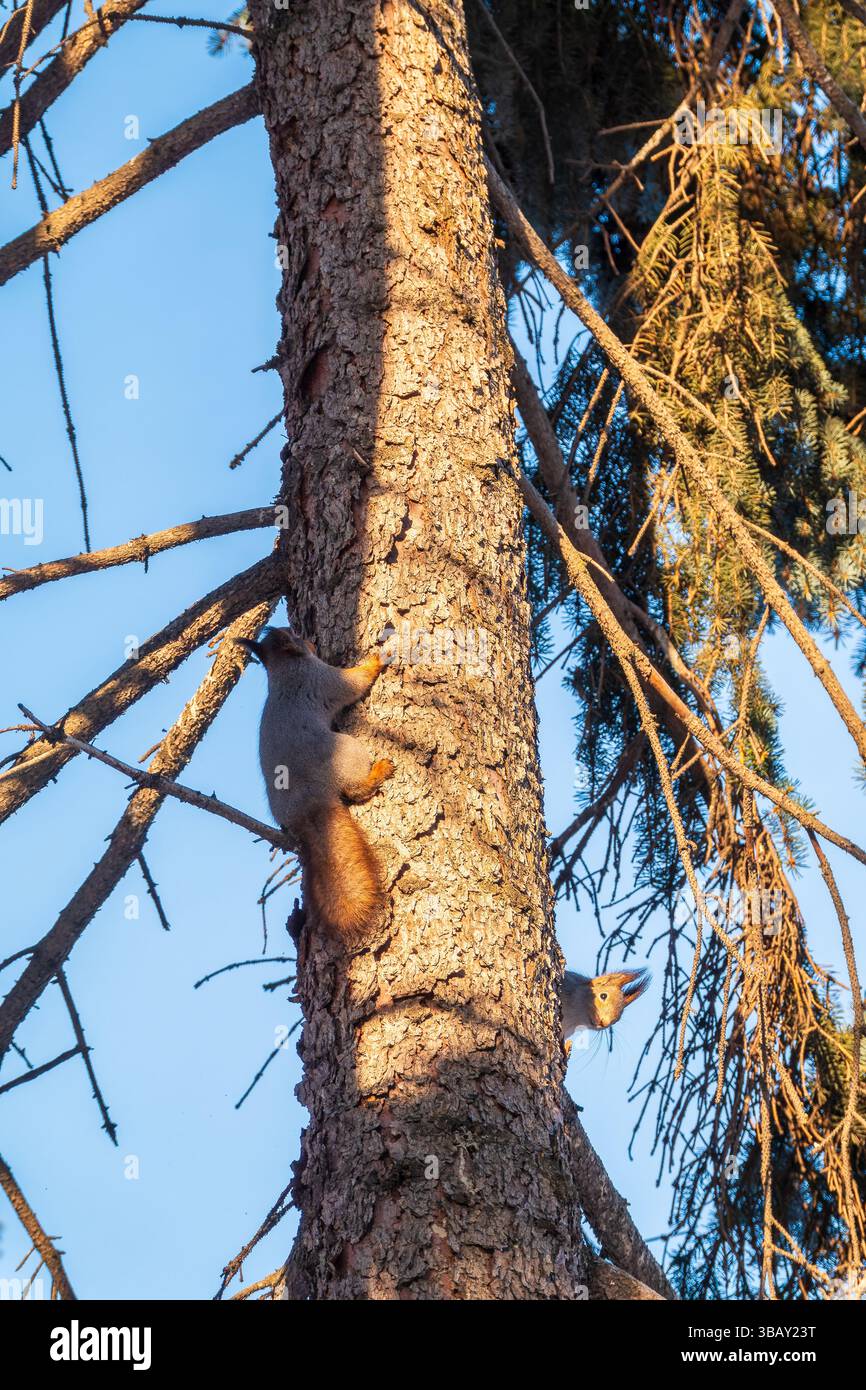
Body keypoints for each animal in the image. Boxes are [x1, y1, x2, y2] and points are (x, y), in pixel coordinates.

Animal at [236, 626, 394, 935]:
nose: (312, 640)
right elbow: (354, 682)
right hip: (347, 750)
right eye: (293, 633)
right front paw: (377, 659)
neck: (282, 671)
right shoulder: (323, 678)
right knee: (356, 790)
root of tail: (306, 803)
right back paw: (378, 772)